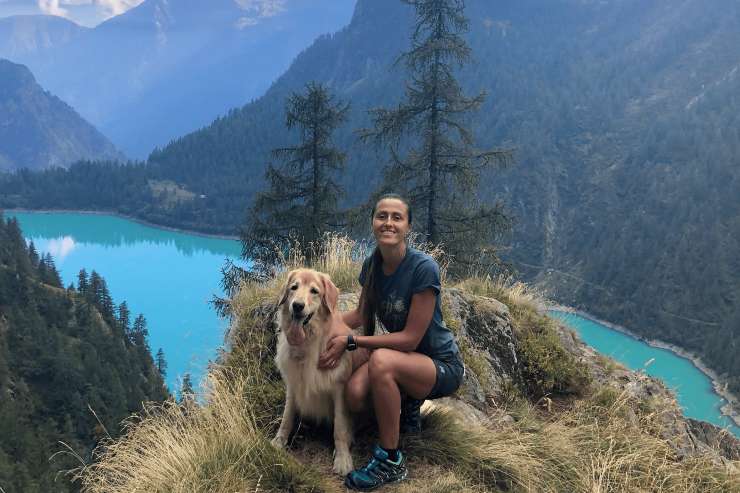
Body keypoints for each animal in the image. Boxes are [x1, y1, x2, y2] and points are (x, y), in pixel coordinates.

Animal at [270, 268, 354, 474]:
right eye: (294, 287)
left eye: (314, 291)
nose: (297, 306)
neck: (307, 343)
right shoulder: (293, 384)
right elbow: (287, 417)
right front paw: (279, 442)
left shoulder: (339, 388)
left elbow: (340, 428)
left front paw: (342, 458)